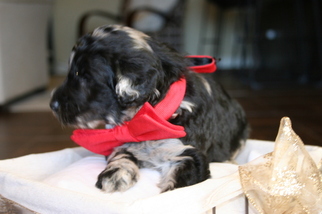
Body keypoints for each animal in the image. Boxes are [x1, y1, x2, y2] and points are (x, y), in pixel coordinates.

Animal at [49, 24, 249, 193]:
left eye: (83, 76)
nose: (52, 105)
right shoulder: (121, 141)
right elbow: (121, 155)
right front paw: (114, 174)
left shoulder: (187, 154)